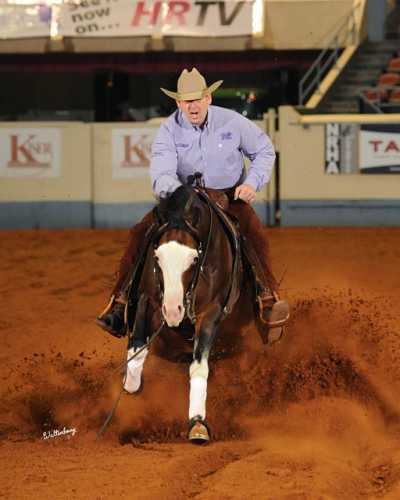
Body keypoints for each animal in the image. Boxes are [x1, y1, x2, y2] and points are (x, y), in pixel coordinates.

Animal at [121, 184, 246, 443]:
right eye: (157, 257)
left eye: (195, 258)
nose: (172, 310)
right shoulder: (147, 299)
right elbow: (137, 348)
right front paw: (131, 386)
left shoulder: (211, 312)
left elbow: (198, 366)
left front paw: (197, 422)